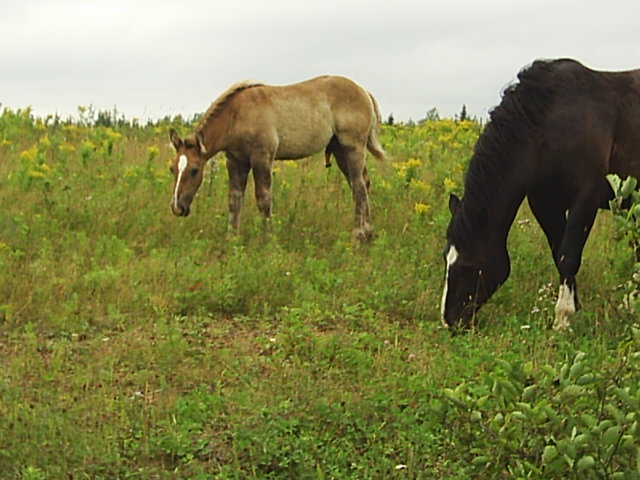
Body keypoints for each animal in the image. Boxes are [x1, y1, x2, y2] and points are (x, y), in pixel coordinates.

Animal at [442, 58, 640, 330]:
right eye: (445, 258)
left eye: (468, 266)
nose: (449, 320)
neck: (550, 124)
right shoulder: (545, 204)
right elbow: (559, 254)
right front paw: (575, 307)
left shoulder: (585, 198)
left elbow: (569, 255)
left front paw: (563, 318)